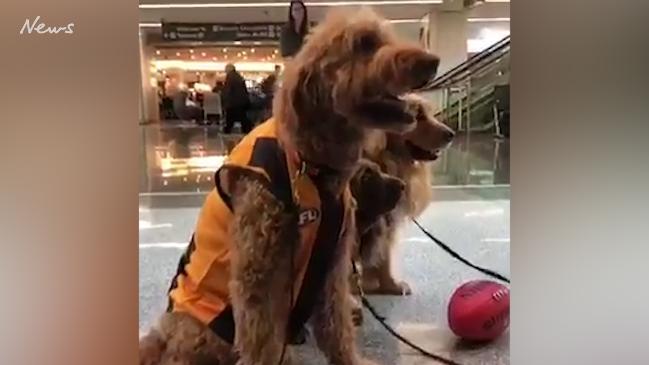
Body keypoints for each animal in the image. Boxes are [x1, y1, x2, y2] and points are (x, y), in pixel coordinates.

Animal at [139, 8, 438, 364]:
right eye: (364, 43)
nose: (432, 61)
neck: (311, 165)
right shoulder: (260, 275)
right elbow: (262, 343)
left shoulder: (331, 264)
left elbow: (337, 327)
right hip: (201, 331)